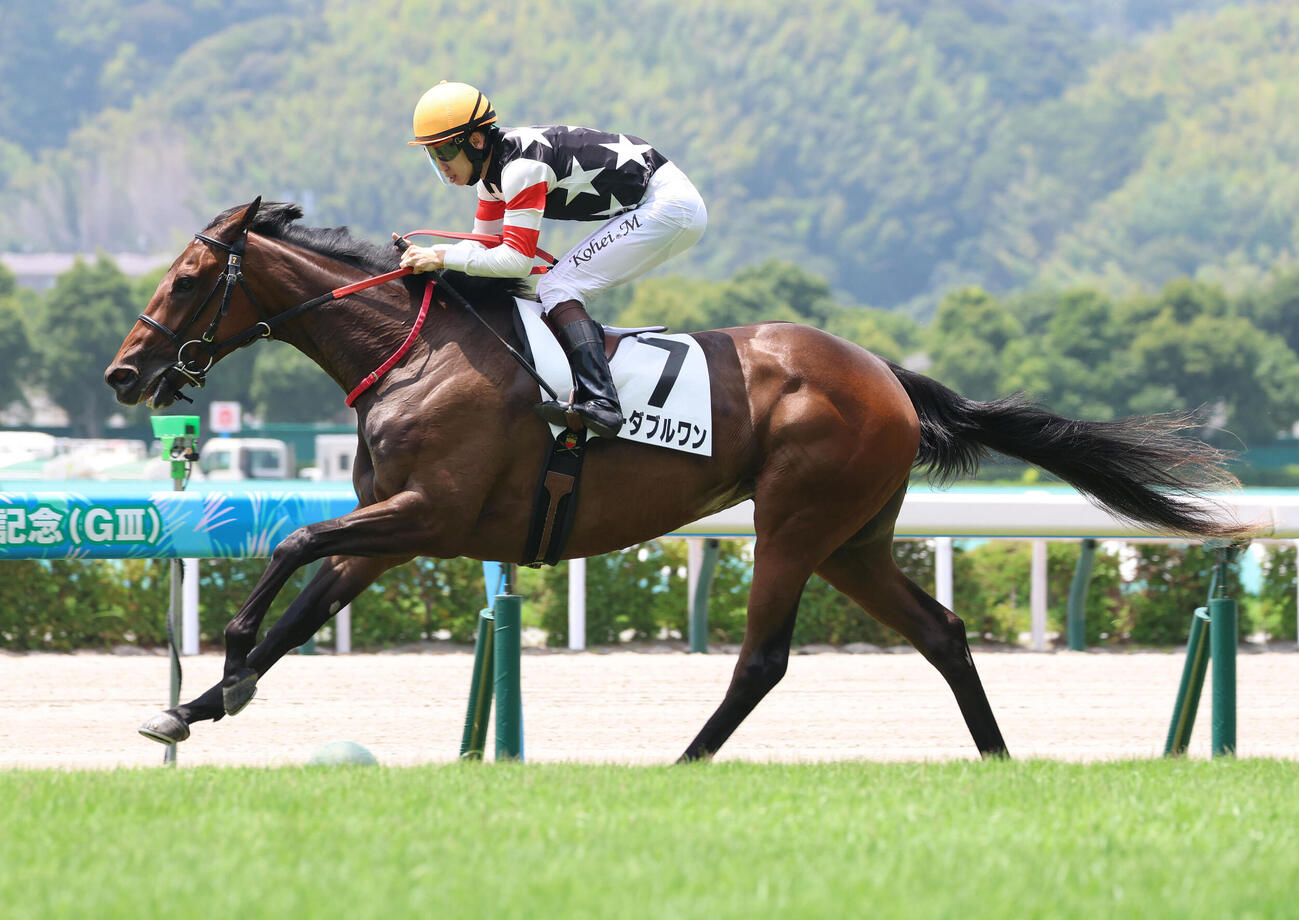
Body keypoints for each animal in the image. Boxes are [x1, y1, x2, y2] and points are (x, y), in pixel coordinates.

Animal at [106, 198, 1248, 761]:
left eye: (190, 278)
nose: (126, 372)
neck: (416, 348)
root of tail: (885, 374)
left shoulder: (425, 514)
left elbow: (293, 547)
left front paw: (225, 665)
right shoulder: (397, 528)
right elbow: (307, 602)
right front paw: (195, 705)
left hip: (793, 524)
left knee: (763, 659)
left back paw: (686, 760)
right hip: (854, 540)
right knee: (942, 633)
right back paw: (998, 757)